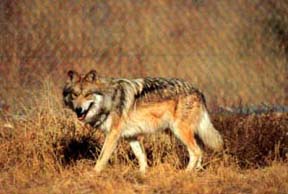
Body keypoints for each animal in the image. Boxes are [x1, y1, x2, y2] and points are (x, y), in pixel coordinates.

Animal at [63, 69, 224, 173]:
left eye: (87, 95)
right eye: (75, 95)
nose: (78, 109)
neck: (110, 99)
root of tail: (198, 90)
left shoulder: (113, 135)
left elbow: (102, 158)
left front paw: (93, 174)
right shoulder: (131, 136)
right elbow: (141, 157)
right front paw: (142, 174)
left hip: (180, 131)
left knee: (196, 151)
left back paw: (186, 173)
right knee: (200, 150)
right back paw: (197, 171)